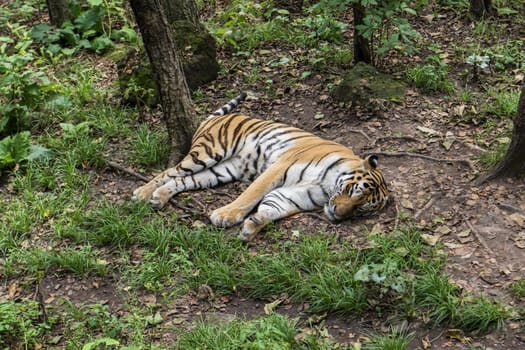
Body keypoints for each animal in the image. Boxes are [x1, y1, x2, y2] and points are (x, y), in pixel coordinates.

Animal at [133, 92, 388, 241]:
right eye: (352, 192)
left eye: (361, 209)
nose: (338, 215)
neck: (328, 186)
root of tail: (214, 118)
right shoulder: (279, 166)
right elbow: (250, 195)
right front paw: (226, 215)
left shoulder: (296, 196)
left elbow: (272, 208)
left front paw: (253, 225)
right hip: (208, 152)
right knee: (169, 171)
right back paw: (142, 193)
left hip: (222, 171)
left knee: (181, 180)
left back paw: (159, 197)